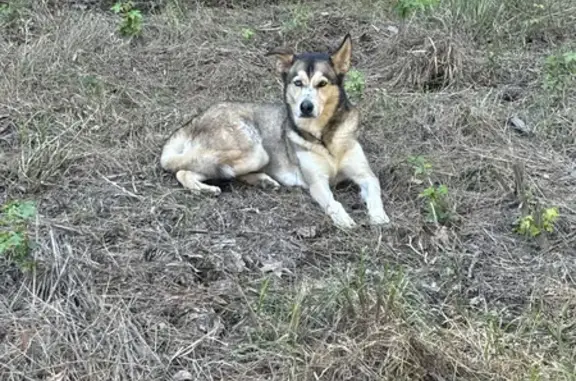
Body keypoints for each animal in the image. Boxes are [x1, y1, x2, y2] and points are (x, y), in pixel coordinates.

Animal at [160, 33, 390, 229]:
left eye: (322, 83)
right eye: (298, 83)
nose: (305, 107)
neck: (325, 137)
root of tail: (196, 119)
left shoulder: (365, 174)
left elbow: (375, 192)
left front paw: (379, 217)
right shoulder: (317, 183)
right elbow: (334, 203)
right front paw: (344, 219)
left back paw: (262, 181)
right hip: (253, 152)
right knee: (184, 171)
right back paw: (206, 189)